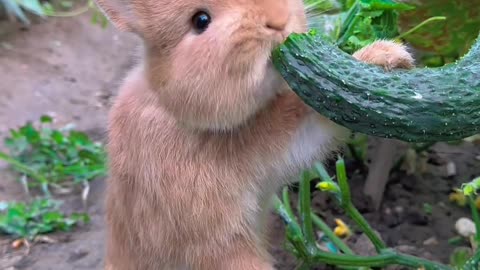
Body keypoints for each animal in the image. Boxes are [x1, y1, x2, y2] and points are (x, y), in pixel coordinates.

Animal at [94, 1, 416, 268]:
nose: (278, 20)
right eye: (200, 20)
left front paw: (390, 55)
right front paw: (380, 55)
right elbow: (309, 117)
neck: (175, 109)